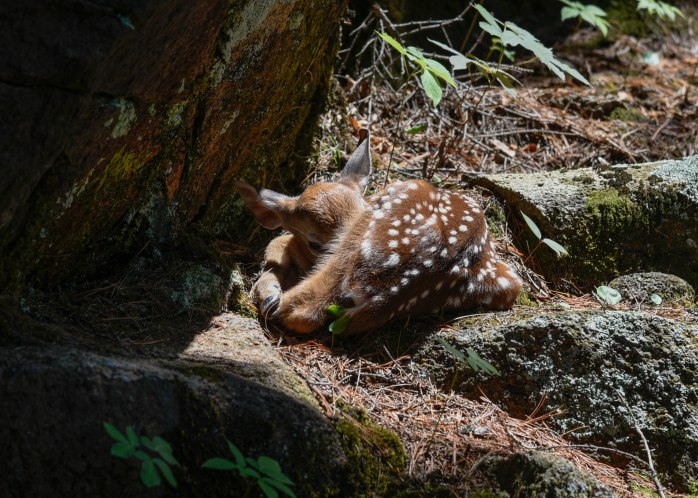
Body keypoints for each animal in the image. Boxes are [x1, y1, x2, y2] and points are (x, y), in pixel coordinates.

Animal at [235, 131, 522, 336]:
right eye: (315, 243)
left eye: (362, 206)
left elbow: (278, 242)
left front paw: (268, 289)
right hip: (505, 282)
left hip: (386, 211)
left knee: (301, 309)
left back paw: (273, 298)